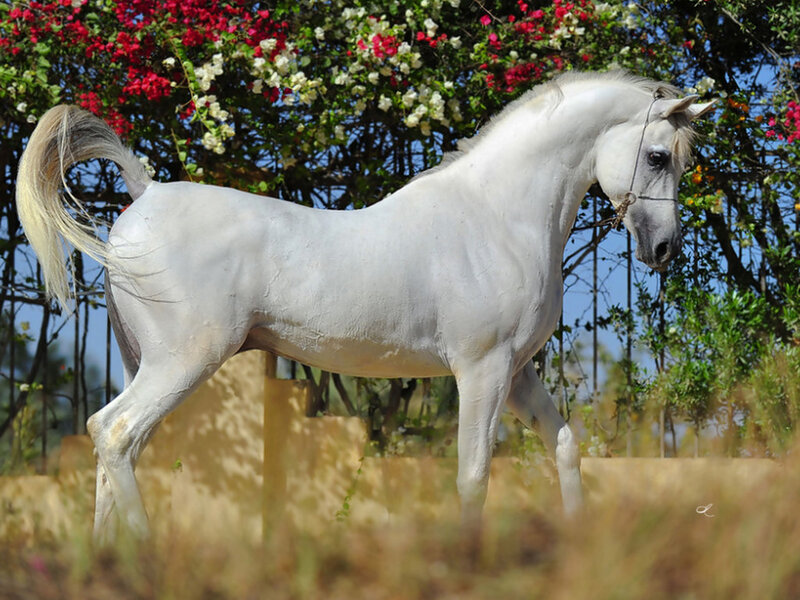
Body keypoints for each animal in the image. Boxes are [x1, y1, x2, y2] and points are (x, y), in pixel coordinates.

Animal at [16, 71, 714, 542]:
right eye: (657, 156)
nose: (664, 248)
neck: (496, 217)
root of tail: (145, 195)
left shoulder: (516, 374)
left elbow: (564, 447)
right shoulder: (482, 372)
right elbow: (474, 475)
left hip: (142, 362)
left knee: (114, 450)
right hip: (183, 361)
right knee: (114, 432)